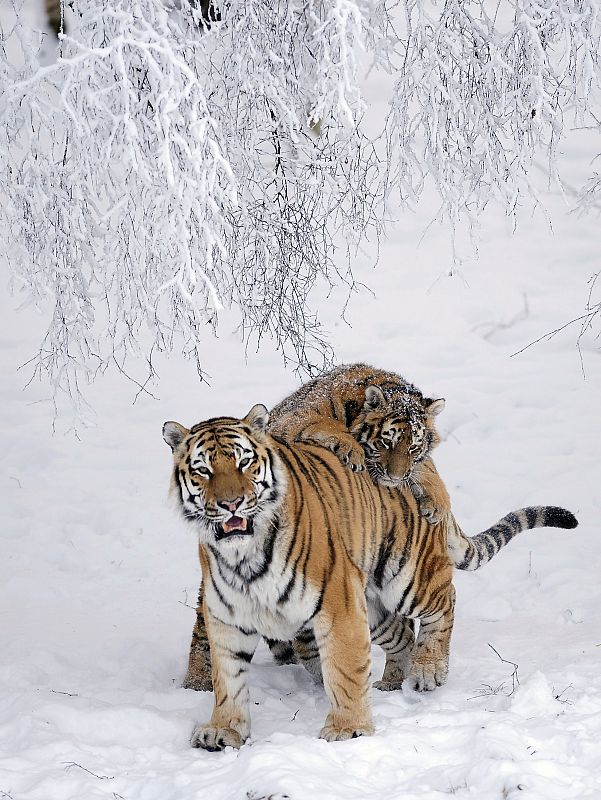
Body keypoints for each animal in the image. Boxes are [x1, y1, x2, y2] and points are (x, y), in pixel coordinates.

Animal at [163, 406, 576, 752]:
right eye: (203, 470)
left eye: (245, 462)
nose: (231, 503)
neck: (243, 556)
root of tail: (416, 471)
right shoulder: (226, 618)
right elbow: (227, 680)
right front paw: (224, 730)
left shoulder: (338, 605)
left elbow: (344, 669)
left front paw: (348, 730)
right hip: (374, 608)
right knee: (403, 633)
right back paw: (394, 681)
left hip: (408, 579)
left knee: (445, 604)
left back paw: (428, 670)